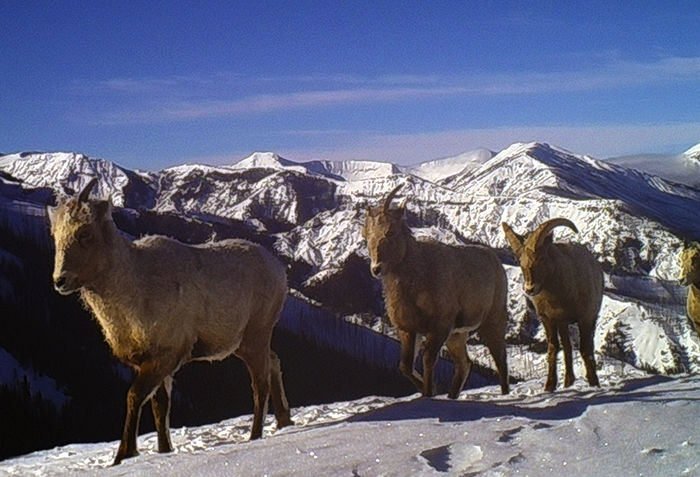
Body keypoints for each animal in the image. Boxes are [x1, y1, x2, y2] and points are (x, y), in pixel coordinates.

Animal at [360, 184, 508, 396]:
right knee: (465, 364)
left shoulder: (439, 327)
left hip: (492, 321)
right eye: (366, 236)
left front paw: (430, 394)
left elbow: (428, 360)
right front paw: (428, 392)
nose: (376, 269)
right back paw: (452, 396)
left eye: (391, 231)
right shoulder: (409, 330)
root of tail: (496, 263)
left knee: (500, 359)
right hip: (457, 336)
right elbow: (405, 366)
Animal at [500, 218, 604, 390]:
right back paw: (568, 382)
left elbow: (584, 348)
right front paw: (549, 386)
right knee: (567, 346)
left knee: (587, 345)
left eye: (542, 258)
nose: (530, 289)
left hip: (589, 318)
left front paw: (593, 382)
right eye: (519, 261)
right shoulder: (548, 319)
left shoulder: (585, 318)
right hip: (563, 323)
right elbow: (553, 347)